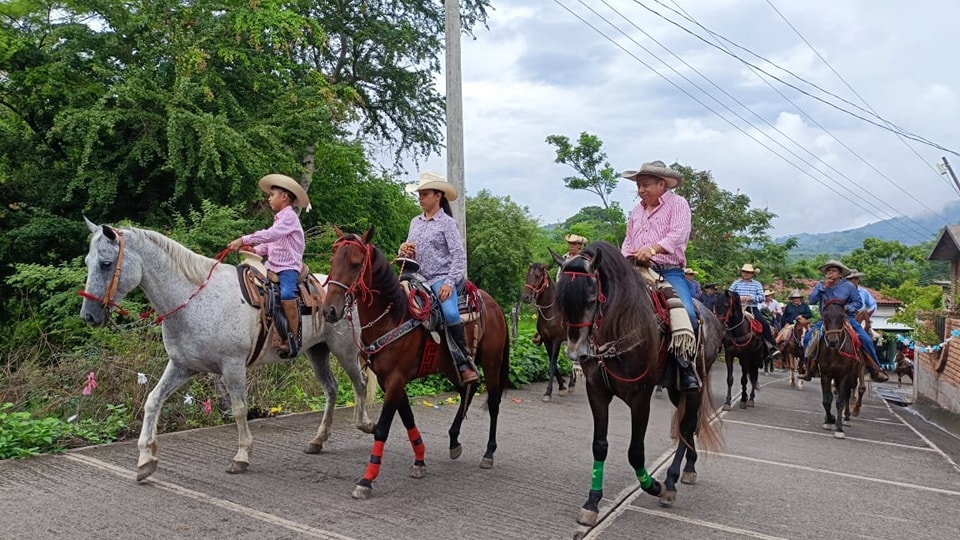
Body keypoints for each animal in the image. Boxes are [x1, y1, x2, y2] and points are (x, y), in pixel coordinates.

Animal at [78, 219, 376, 480]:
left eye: (106, 263)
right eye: (88, 262)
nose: (88, 316)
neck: (197, 301)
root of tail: (345, 294)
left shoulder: (233, 366)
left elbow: (239, 409)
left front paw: (241, 457)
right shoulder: (182, 365)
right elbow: (153, 400)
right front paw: (145, 460)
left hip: (345, 351)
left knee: (360, 383)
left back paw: (365, 424)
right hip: (317, 351)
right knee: (331, 389)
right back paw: (318, 440)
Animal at [320, 226, 512, 500]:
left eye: (356, 264)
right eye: (333, 261)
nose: (329, 311)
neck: (392, 316)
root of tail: (493, 303)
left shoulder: (395, 379)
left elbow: (383, 427)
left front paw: (366, 480)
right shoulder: (389, 380)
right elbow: (408, 418)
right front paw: (420, 461)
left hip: (492, 362)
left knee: (493, 402)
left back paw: (488, 453)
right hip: (451, 366)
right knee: (468, 387)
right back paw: (454, 441)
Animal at [520, 262, 572, 400]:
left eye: (538, 276)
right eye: (527, 275)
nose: (525, 297)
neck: (552, 310)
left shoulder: (557, 340)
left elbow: (552, 365)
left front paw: (548, 392)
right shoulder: (547, 340)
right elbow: (553, 363)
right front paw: (562, 386)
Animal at [552, 242, 724, 528]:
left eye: (591, 299)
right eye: (561, 300)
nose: (577, 354)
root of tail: (711, 317)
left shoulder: (640, 398)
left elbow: (636, 452)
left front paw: (653, 485)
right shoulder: (597, 393)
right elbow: (599, 445)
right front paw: (592, 503)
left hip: (695, 385)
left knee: (687, 427)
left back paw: (671, 483)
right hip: (676, 390)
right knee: (686, 427)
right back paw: (689, 468)